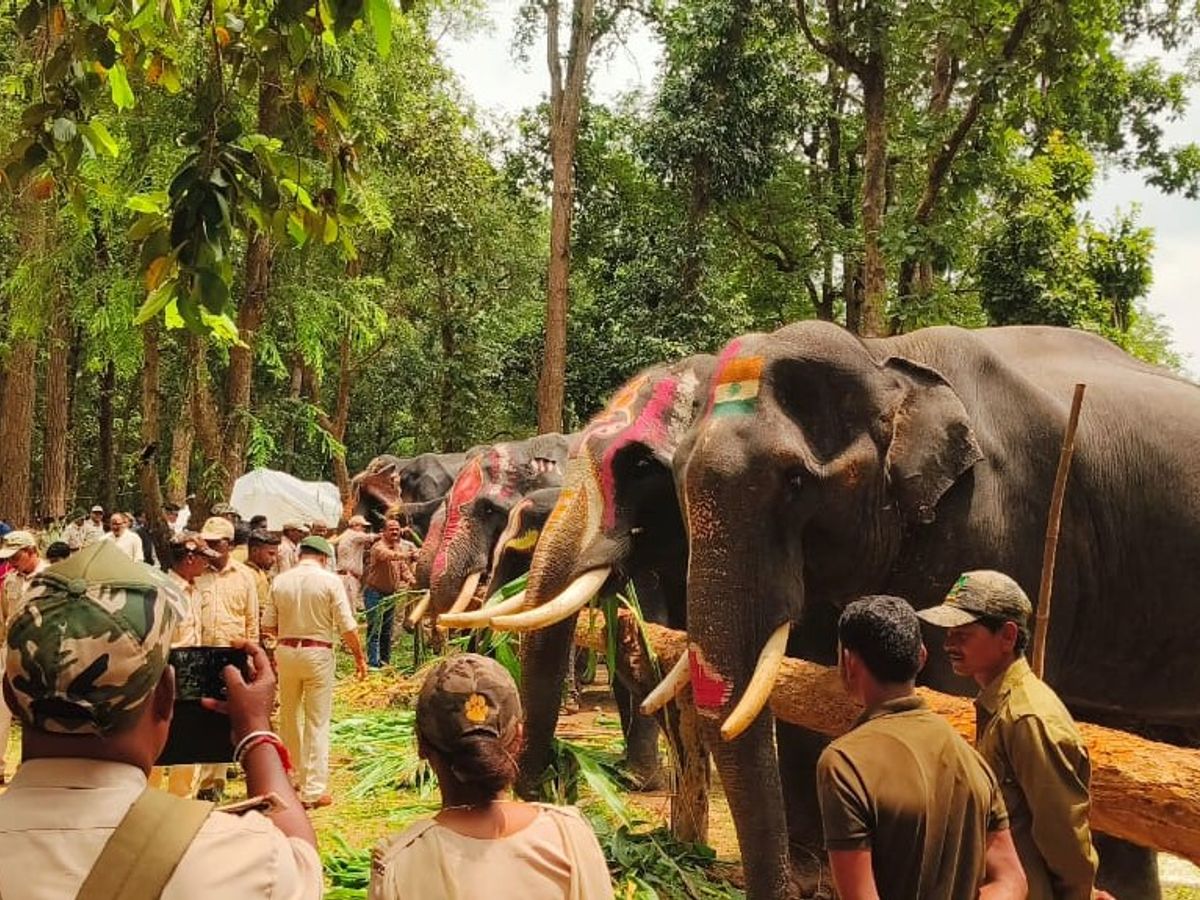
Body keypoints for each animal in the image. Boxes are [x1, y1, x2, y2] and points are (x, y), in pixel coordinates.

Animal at [658, 320, 1200, 898]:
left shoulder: (993, 524)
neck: (886, 359)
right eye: (676, 477)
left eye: (795, 481)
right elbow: (802, 681)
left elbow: (948, 690)